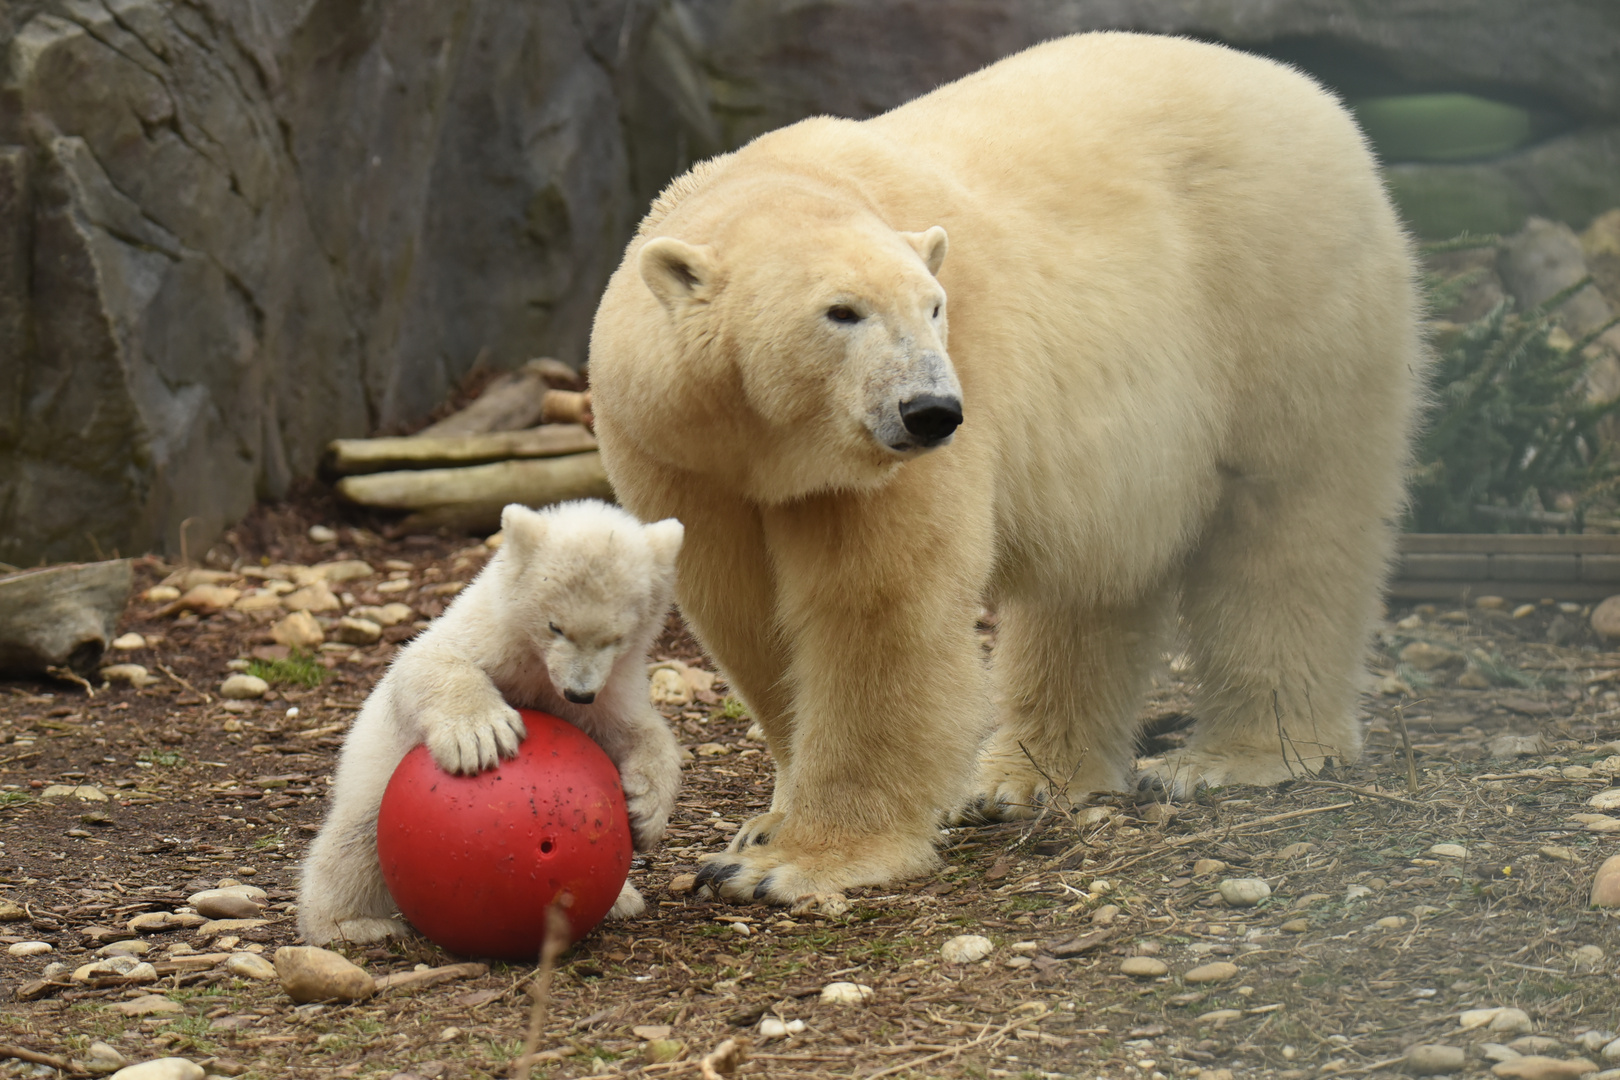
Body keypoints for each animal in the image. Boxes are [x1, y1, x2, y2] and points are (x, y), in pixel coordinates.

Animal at [589, 33, 1425, 906]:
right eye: (841, 311)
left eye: (933, 306)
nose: (929, 410)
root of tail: (1311, 94)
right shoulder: (679, 450)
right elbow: (743, 610)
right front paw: (767, 822)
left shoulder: (912, 446)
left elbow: (876, 610)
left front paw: (787, 862)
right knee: (1093, 584)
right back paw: (1021, 777)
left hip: (1286, 303)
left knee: (1285, 528)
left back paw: (1235, 757)